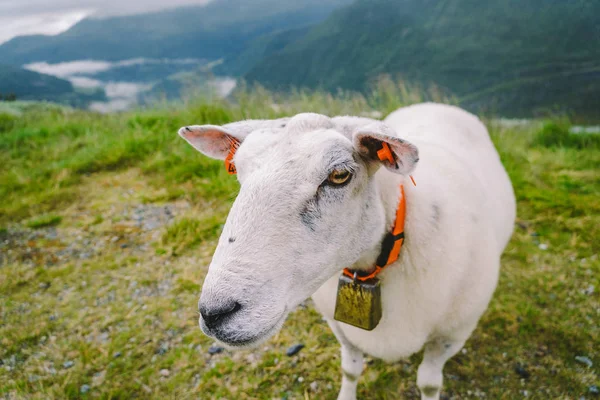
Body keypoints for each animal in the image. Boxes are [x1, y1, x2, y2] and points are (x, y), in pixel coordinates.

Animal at [177, 104, 516, 400]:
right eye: (236, 170)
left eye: (339, 176)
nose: (214, 312)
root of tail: (437, 104)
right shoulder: (339, 325)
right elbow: (350, 369)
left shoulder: (451, 335)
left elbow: (430, 384)